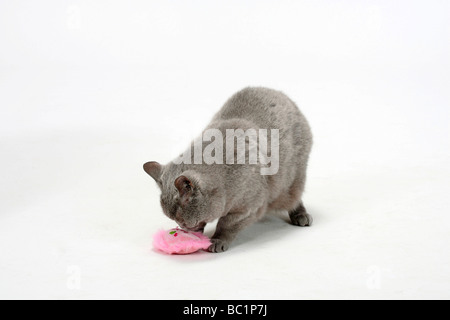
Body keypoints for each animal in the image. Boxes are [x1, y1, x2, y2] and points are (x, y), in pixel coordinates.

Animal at [144, 87, 312, 252]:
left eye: (185, 222)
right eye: (175, 221)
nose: (183, 229)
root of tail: (277, 92)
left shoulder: (247, 208)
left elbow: (226, 224)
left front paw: (217, 240)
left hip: (294, 177)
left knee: (294, 197)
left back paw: (301, 216)